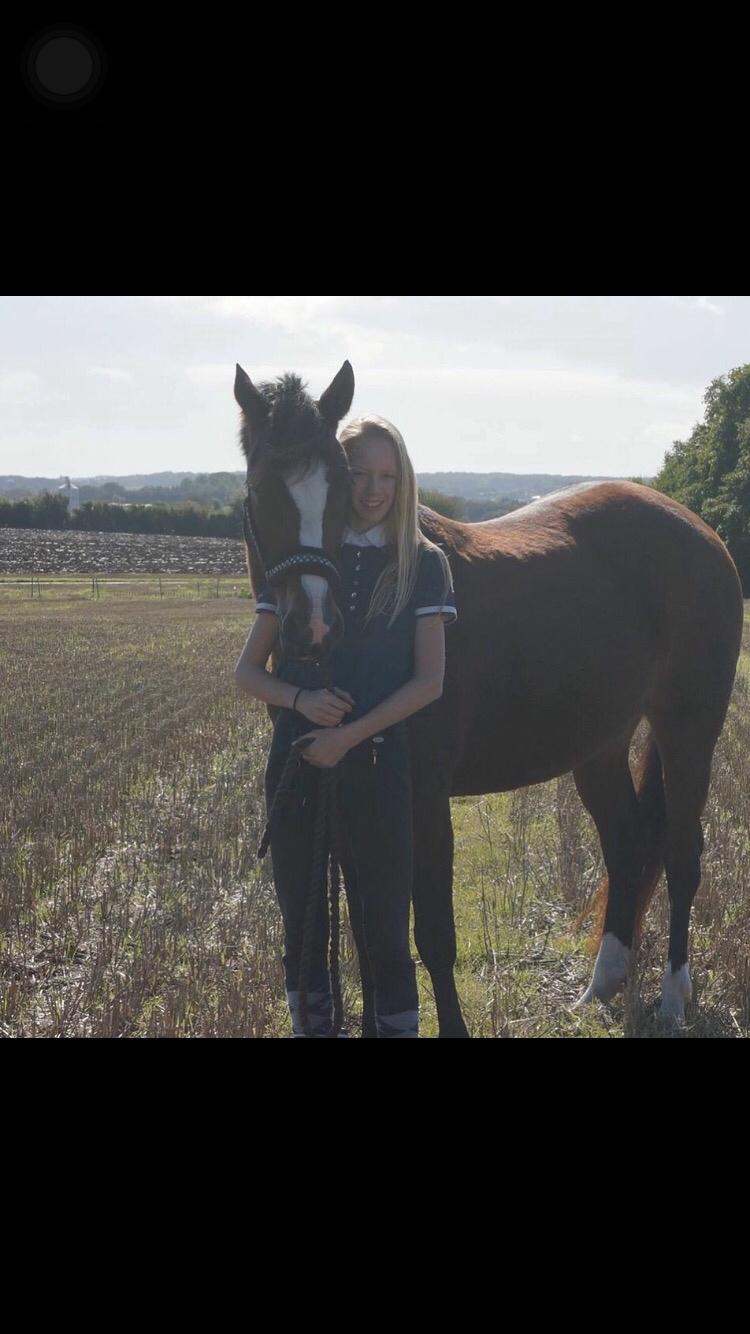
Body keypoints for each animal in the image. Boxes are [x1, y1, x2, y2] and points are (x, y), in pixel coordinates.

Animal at [233, 360, 741, 1035]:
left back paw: (674, 997)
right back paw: (601, 986)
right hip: (599, 746)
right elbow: (368, 933)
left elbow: (431, 933)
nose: (313, 627)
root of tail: (702, 535)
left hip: (689, 729)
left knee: (684, 854)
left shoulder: (422, 795)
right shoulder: (341, 787)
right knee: (628, 847)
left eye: (341, 481)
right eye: (262, 485)